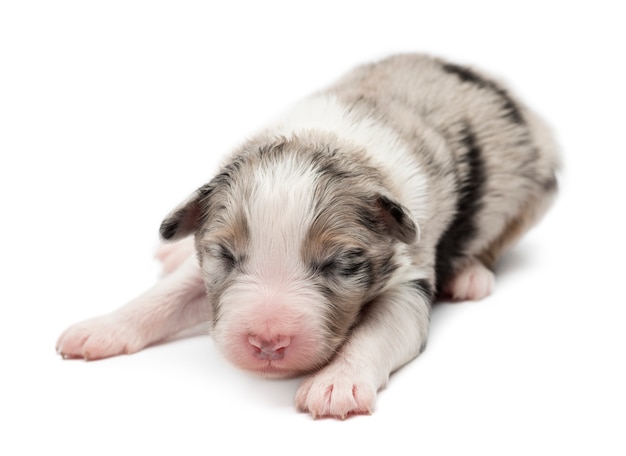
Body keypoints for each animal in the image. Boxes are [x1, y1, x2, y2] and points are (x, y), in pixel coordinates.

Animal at [56, 54, 560, 420]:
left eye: (341, 264)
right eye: (226, 255)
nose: (267, 343)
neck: (326, 141)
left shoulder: (408, 274)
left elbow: (381, 329)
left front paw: (337, 384)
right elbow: (166, 297)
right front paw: (101, 328)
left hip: (533, 191)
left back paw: (471, 274)